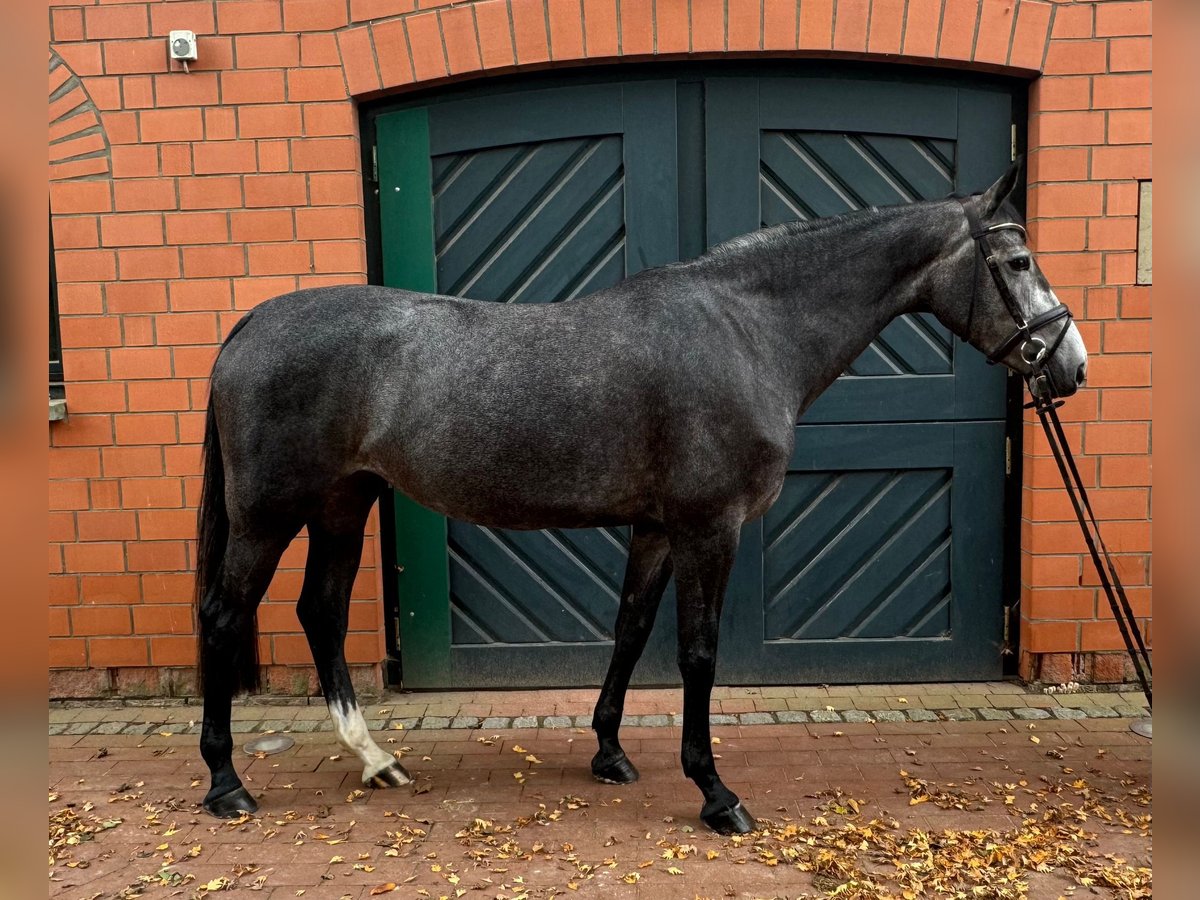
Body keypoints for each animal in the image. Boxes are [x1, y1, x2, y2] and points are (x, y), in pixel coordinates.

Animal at [194, 164, 1089, 840]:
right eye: (1017, 262)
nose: (1069, 364)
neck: (745, 331)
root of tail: (250, 324)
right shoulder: (708, 527)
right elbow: (697, 654)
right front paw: (716, 793)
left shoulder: (657, 527)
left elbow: (629, 630)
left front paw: (609, 754)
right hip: (269, 514)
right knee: (226, 615)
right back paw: (227, 781)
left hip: (344, 502)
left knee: (320, 610)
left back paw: (375, 758)